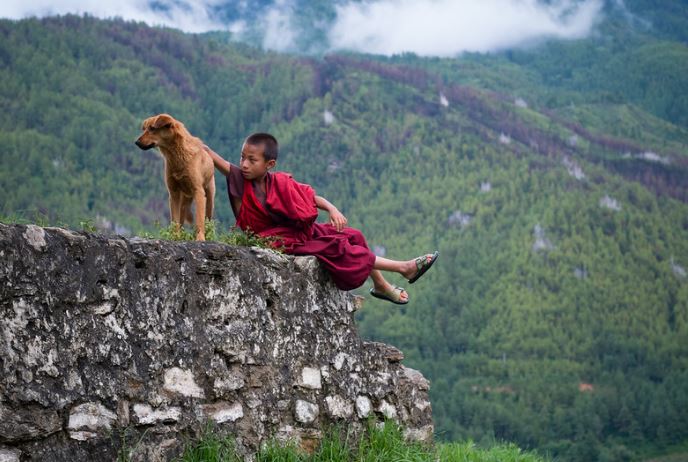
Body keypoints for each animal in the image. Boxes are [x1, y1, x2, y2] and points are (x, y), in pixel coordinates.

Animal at [135, 114, 215, 242]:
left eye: (152, 128)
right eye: (145, 128)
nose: (136, 142)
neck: (178, 156)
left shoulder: (198, 192)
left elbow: (199, 220)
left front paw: (200, 238)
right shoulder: (174, 194)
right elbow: (175, 221)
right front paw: (175, 237)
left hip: (209, 197)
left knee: (207, 218)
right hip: (183, 201)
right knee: (181, 219)